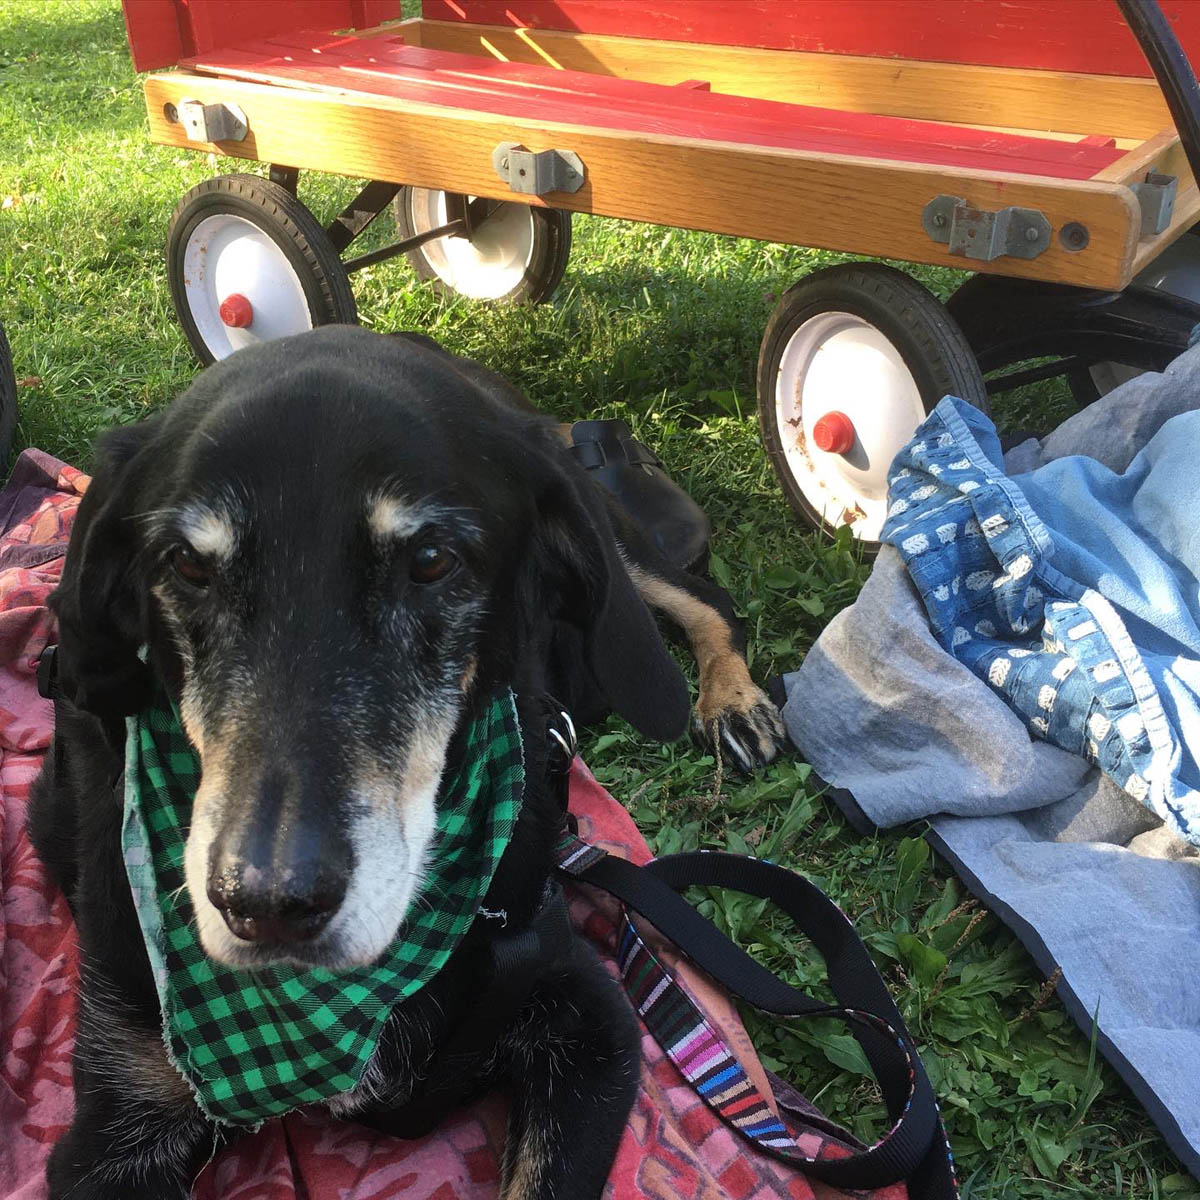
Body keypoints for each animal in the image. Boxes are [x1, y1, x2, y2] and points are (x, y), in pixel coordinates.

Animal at [28, 324, 787, 1195]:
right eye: (187, 564)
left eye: (430, 561)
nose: (268, 902)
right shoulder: (116, 1118)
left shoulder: (590, 1023)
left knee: (700, 602)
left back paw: (733, 703)